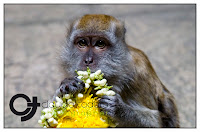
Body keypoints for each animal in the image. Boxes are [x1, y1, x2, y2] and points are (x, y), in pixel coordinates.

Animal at [52, 13, 180, 127]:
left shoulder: (138, 76)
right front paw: (67, 86)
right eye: (82, 42)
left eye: (100, 43)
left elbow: (156, 122)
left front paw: (119, 110)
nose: (88, 60)